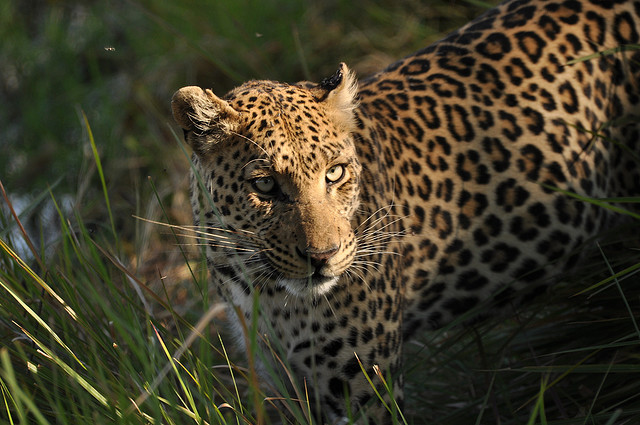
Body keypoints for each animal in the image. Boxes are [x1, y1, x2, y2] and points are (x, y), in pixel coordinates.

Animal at [170, 0, 640, 422]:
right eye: (265, 185)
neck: (263, 288)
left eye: (334, 173)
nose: (323, 257)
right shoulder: (280, 380)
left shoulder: (363, 390)